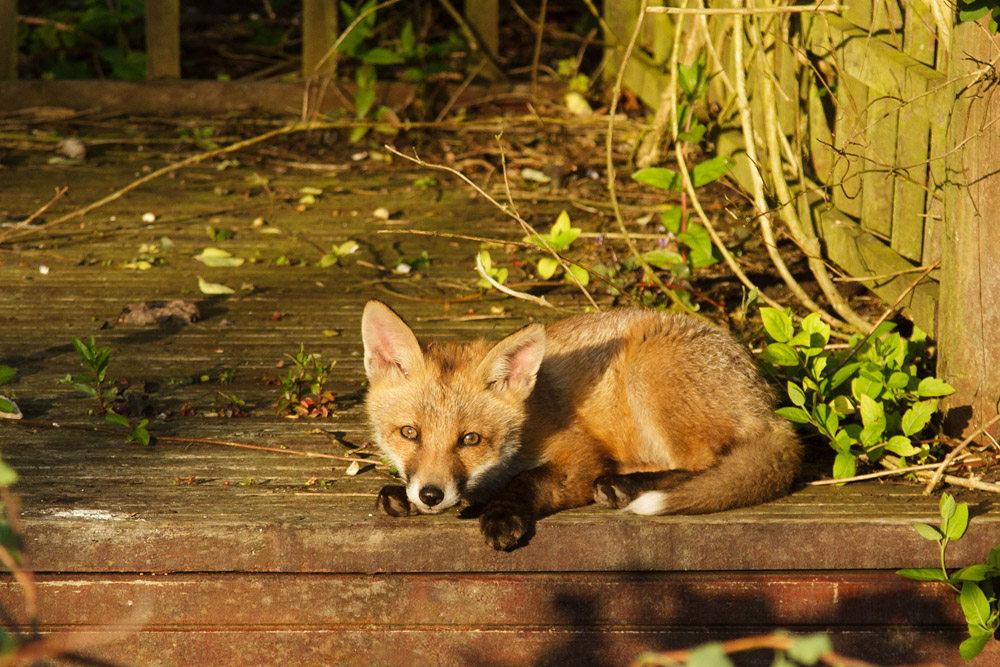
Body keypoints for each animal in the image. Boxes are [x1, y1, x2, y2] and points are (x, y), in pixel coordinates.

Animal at [361, 300, 802, 550]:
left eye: (470, 439)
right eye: (410, 433)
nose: (431, 495)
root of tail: (769, 404)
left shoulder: (581, 455)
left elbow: (526, 480)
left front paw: (502, 515)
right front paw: (408, 498)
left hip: (648, 368)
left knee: (705, 462)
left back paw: (623, 487)